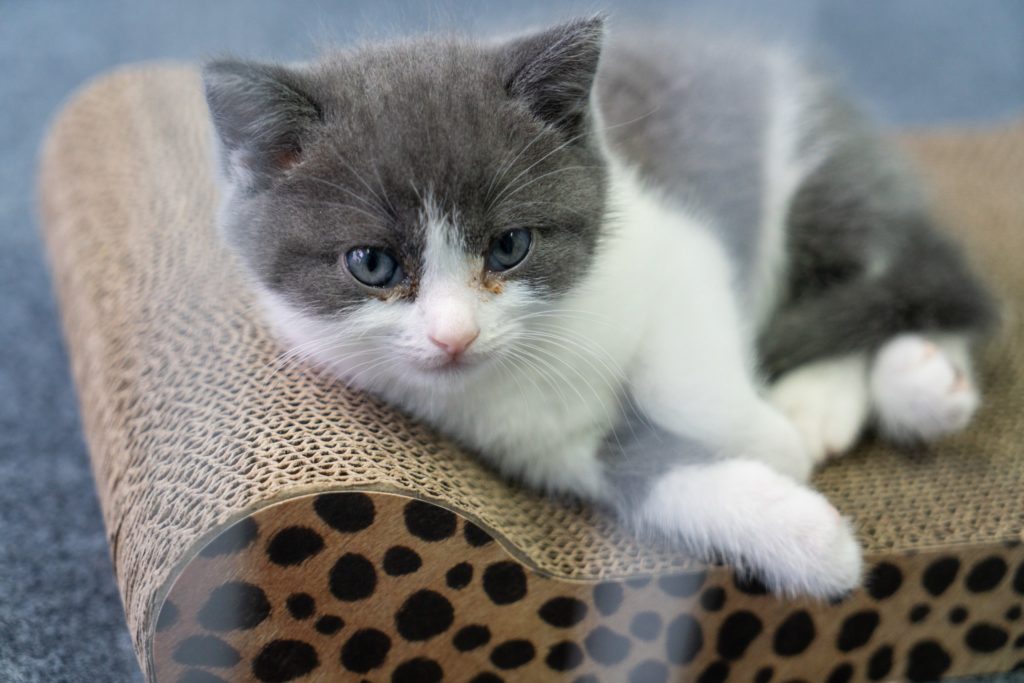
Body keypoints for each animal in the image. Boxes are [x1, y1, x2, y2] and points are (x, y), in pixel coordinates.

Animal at [203, 13, 995, 593]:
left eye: (510, 245)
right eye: (372, 263)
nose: (454, 336)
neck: (541, 355)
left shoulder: (678, 247)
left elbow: (686, 379)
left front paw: (775, 439)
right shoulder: (542, 444)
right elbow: (647, 475)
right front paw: (809, 539)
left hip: (817, 177)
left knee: (912, 281)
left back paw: (880, 392)